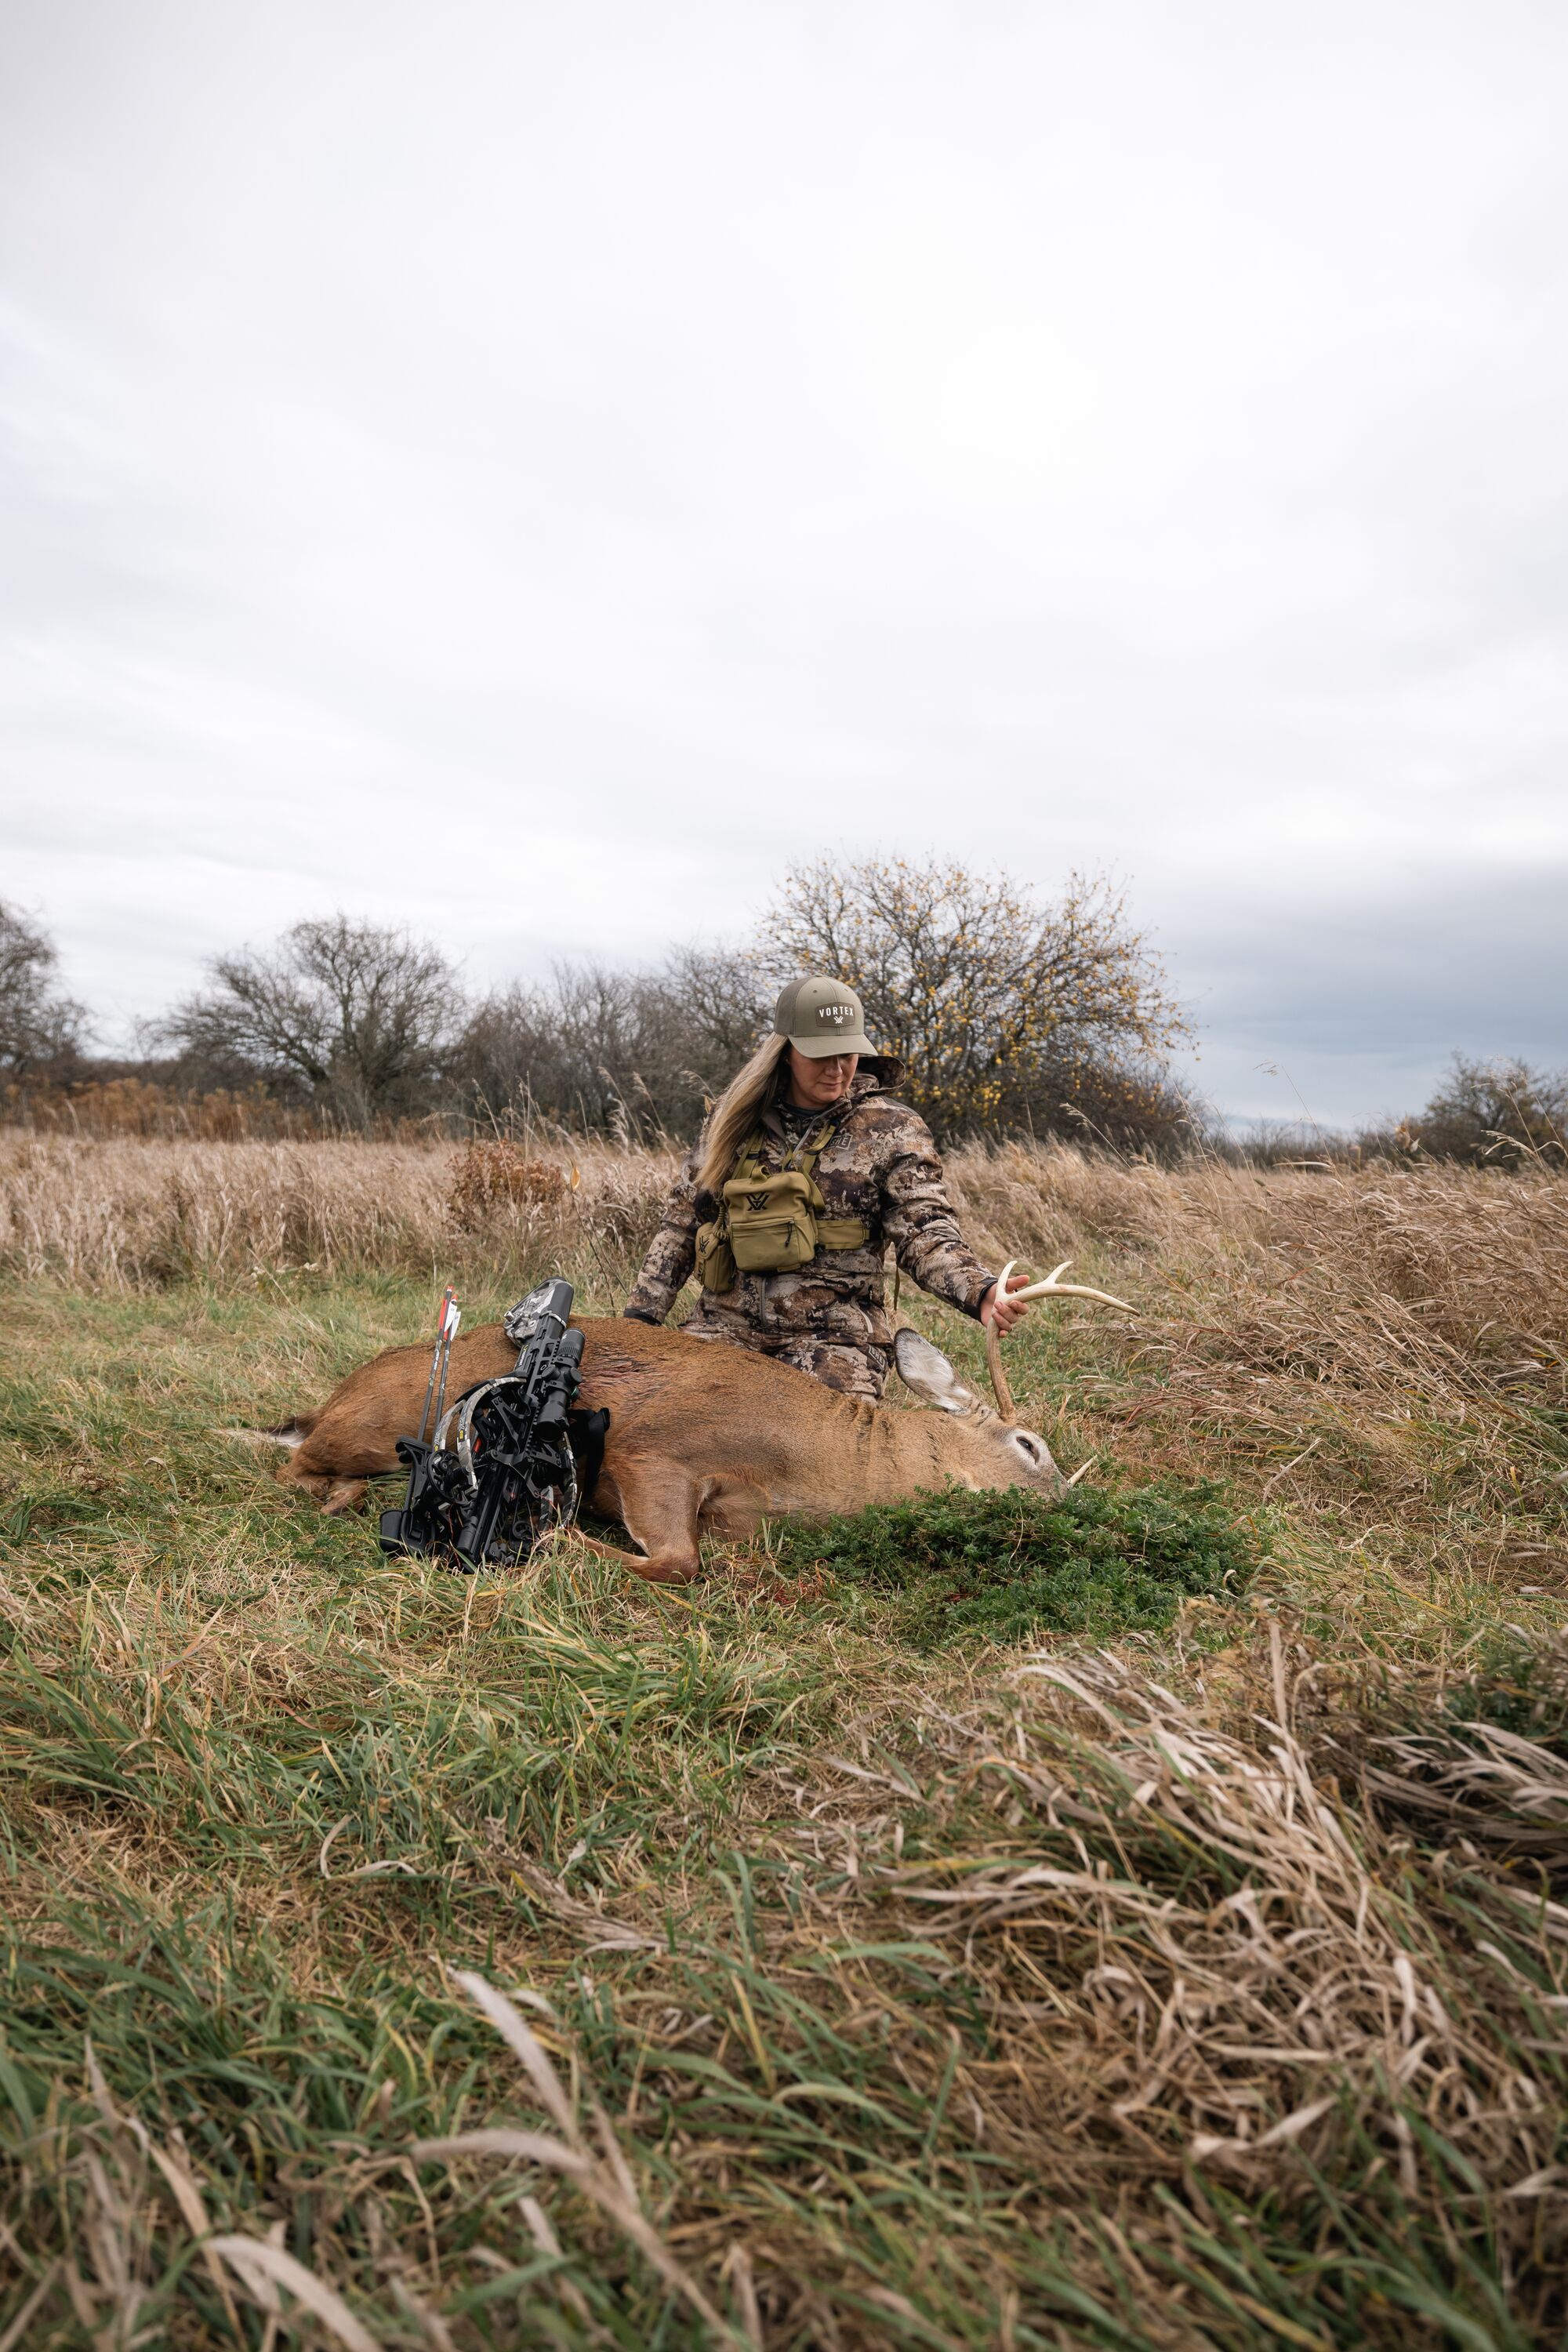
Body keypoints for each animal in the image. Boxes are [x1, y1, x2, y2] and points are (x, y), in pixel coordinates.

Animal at [255, 1261, 1142, 1590]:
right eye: (1030, 1446)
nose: (1075, 1508)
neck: (821, 1460)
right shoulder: (657, 1452)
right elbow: (677, 1560)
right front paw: (553, 1538)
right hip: (376, 1424)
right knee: (290, 1464)